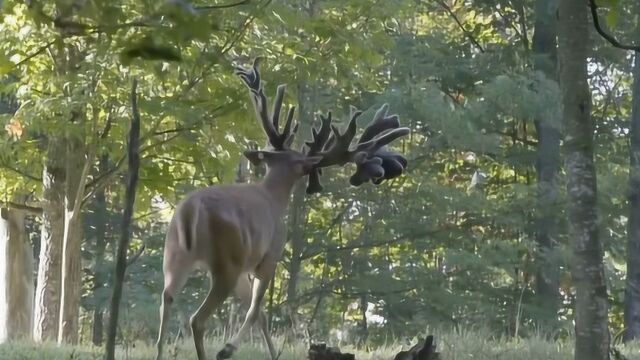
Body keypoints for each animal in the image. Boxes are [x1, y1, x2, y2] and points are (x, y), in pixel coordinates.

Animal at [152, 59, 408, 360]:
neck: (273, 196)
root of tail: (191, 211)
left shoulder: (245, 268)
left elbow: (261, 314)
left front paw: (272, 353)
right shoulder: (269, 255)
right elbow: (255, 311)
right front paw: (229, 348)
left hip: (174, 255)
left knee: (166, 300)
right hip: (226, 262)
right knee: (197, 319)